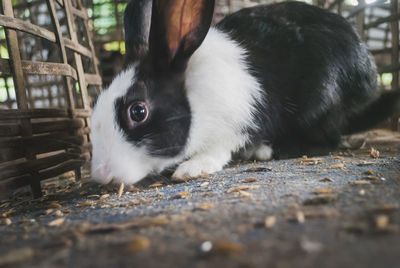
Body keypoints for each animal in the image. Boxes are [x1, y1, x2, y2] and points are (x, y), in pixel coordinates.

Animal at [90, 0, 400, 184]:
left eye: (137, 111)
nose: (101, 175)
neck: (194, 99)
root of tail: (368, 72)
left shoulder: (236, 122)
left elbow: (219, 148)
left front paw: (193, 168)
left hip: (321, 103)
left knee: (326, 140)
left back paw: (263, 150)